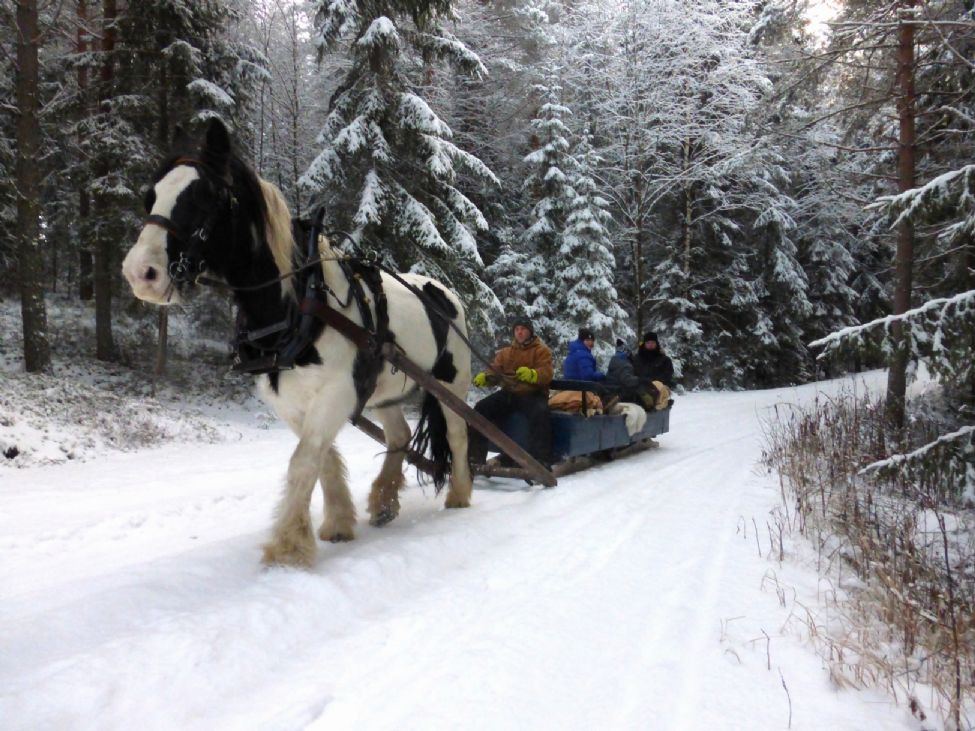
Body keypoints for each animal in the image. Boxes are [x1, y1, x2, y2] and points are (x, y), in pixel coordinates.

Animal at [122, 118, 472, 568]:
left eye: (205, 196)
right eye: (150, 195)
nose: (140, 273)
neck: (301, 302)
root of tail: (445, 292)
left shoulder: (336, 393)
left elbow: (304, 461)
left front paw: (288, 546)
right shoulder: (289, 401)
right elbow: (322, 459)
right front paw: (338, 522)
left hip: (451, 386)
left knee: (459, 434)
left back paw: (460, 494)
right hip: (386, 391)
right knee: (399, 436)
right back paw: (383, 501)